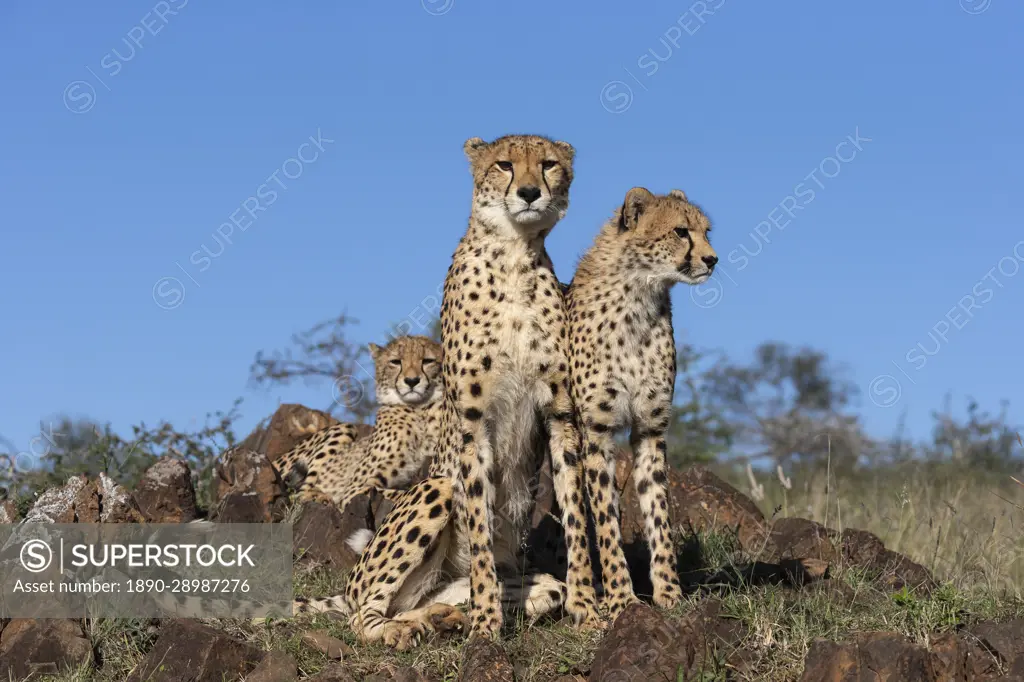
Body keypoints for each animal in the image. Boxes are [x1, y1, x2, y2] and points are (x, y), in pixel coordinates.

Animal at [274, 333, 442, 509]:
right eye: (396, 361)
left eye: (428, 361)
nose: (412, 381)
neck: (418, 410)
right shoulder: (355, 488)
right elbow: (399, 493)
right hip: (344, 428)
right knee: (299, 495)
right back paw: (319, 497)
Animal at [294, 134, 598, 647]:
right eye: (504, 165)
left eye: (549, 164)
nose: (530, 193)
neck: (514, 258)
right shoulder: (473, 425)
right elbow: (479, 528)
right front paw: (487, 629)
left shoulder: (561, 416)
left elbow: (575, 516)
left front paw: (590, 611)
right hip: (432, 489)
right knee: (363, 615)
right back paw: (407, 629)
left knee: (456, 595)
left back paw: (443, 617)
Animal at [569, 186, 720, 614]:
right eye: (681, 232)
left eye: (706, 232)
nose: (712, 259)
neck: (639, 296)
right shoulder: (596, 431)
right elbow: (605, 519)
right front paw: (622, 598)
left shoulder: (651, 429)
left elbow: (658, 512)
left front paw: (669, 592)